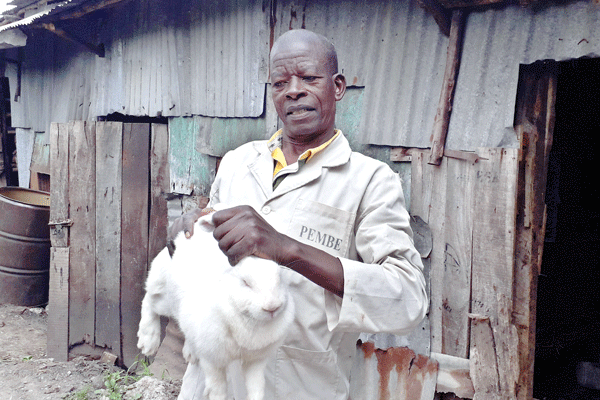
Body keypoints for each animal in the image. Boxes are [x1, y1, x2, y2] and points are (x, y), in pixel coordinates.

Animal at [137, 208, 296, 398]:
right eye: (245, 282)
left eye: (279, 278)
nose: (272, 307)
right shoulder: (213, 360)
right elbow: (218, 386)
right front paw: (216, 396)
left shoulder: (256, 361)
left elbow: (256, 386)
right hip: (164, 296)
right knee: (149, 301)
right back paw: (148, 343)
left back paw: (190, 353)